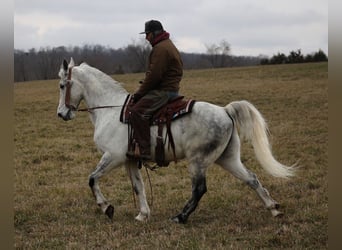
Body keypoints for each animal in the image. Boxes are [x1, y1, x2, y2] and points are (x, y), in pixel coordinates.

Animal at [56, 58, 294, 223]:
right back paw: (273, 208)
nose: (61, 114)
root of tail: (225, 111)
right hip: (228, 158)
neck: (111, 109)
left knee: (199, 189)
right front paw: (143, 215)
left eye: (62, 85)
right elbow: (138, 187)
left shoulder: (113, 157)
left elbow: (92, 179)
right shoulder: (129, 160)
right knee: (251, 179)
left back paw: (181, 217)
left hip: (198, 161)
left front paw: (106, 207)